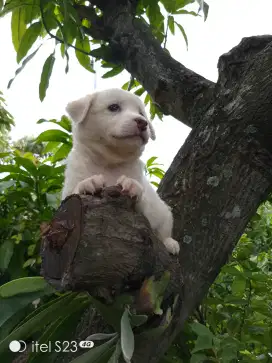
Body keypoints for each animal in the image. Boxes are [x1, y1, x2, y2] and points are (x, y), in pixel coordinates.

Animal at [62, 89, 180, 256]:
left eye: (141, 113)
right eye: (114, 107)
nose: (142, 122)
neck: (110, 162)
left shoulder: (144, 212)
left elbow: (142, 200)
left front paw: (132, 185)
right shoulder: (66, 196)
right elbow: (75, 190)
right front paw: (88, 183)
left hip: (164, 212)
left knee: (164, 231)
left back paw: (170, 243)